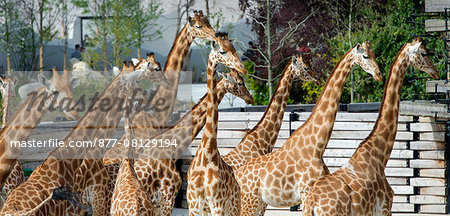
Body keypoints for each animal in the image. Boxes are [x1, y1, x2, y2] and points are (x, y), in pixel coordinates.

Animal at [185, 32, 246, 216]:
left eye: (234, 48)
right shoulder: (194, 205)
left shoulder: (217, 204)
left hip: (233, 209)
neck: (207, 154)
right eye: (223, 51)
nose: (243, 68)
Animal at [234, 41, 382, 215]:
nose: (379, 75)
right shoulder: (306, 194)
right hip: (248, 203)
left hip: (257, 204)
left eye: (374, 54)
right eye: (365, 56)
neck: (317, 146)